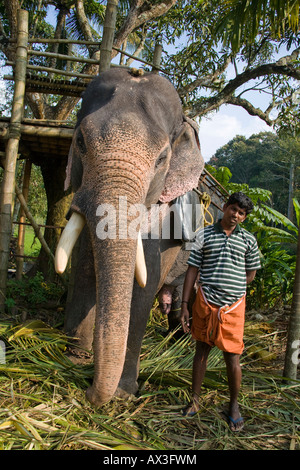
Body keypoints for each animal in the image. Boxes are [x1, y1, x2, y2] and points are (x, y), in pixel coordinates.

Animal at [55, 67, 204, 408]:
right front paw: (74, 357)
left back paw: (180, 346)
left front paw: (123, 392)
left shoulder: (163, 218)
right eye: (80, 141)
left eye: (162, 159)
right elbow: (83, 266)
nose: (89, 392)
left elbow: (145, 284)